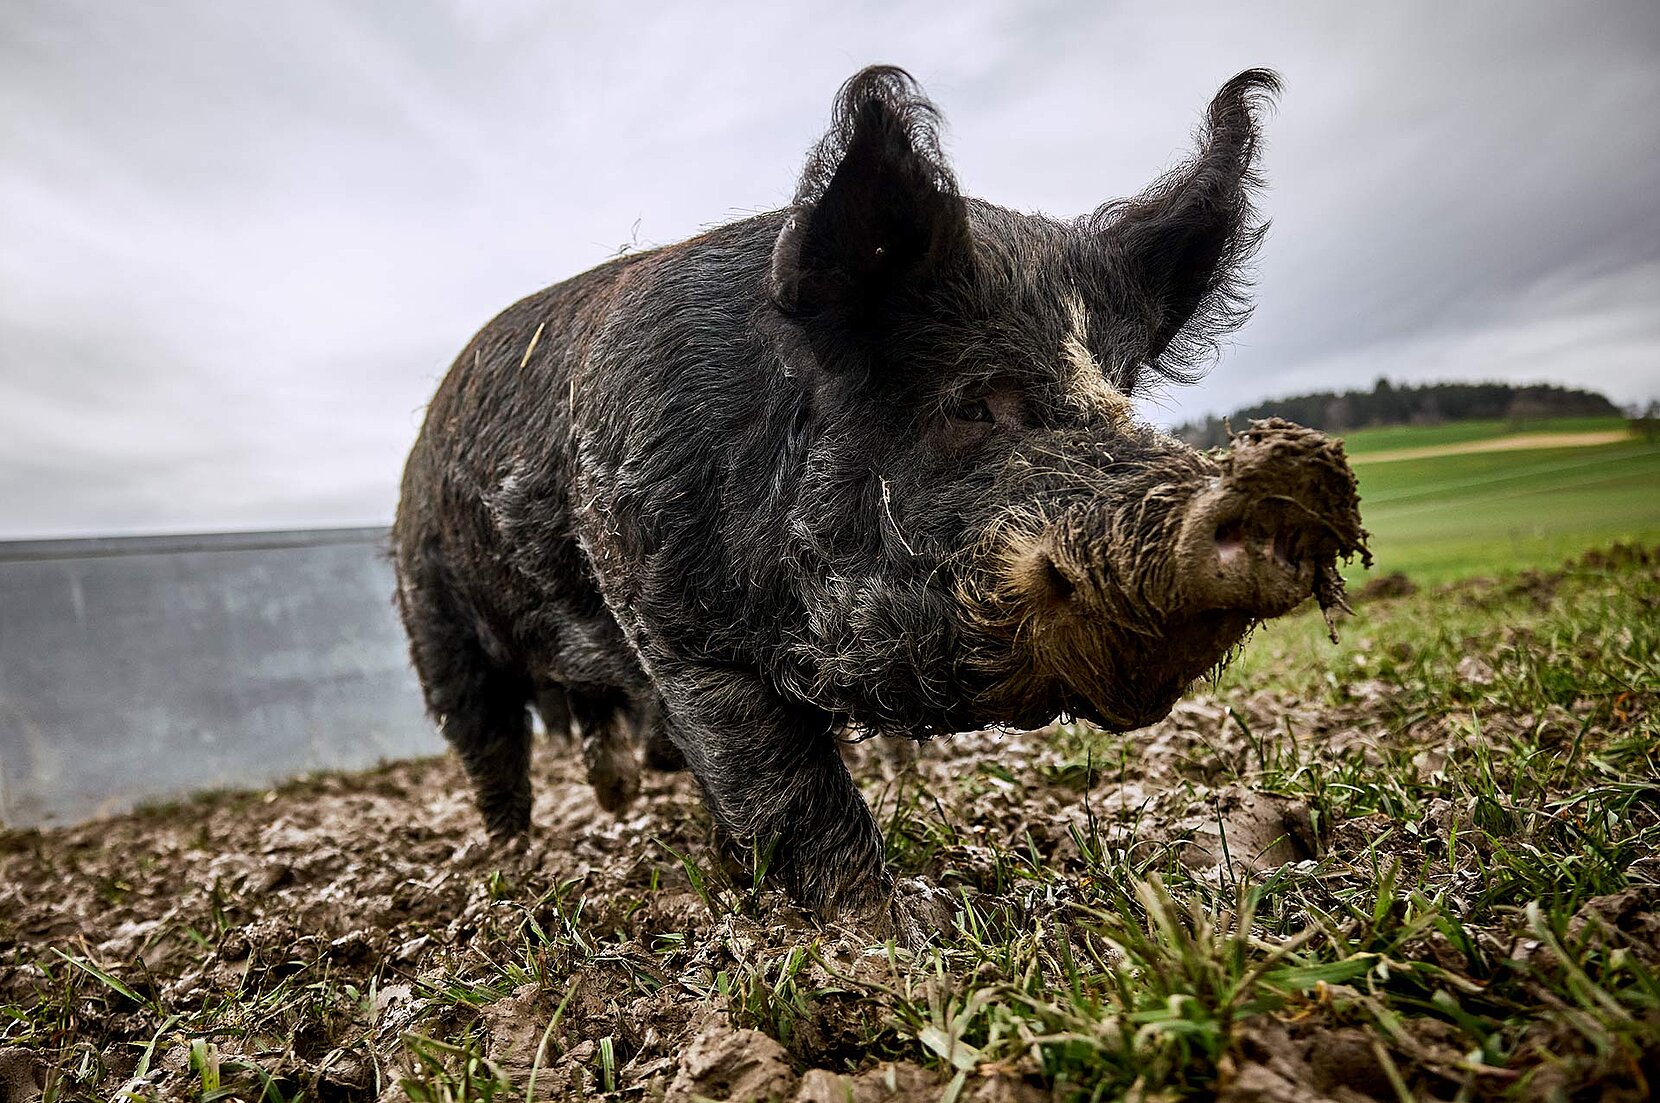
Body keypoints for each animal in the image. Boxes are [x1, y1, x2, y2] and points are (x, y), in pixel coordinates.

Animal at [391, 65, 1367, 919]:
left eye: (1121, 387)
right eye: (973, 398)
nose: (1293, 478)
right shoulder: (674, 623)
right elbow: (785, 783)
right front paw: (889, 932)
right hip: (432, 613)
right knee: (489, 741)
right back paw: (511, 864)